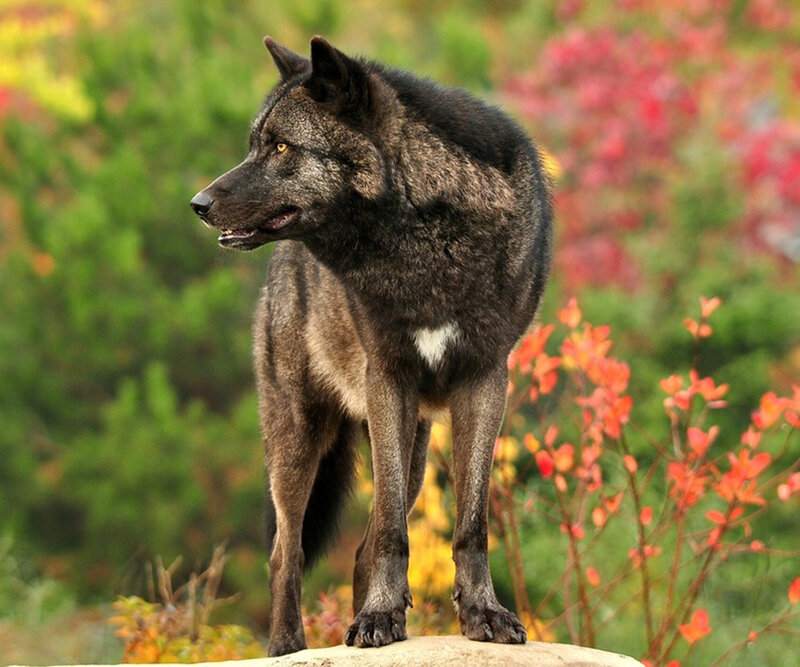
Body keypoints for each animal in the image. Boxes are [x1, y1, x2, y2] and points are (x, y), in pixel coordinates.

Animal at [190, 36, 552, 656]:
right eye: (255, 144)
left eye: (281, 147)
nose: (198, 203)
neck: (425, 236)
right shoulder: (386, 379)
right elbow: (389, 533)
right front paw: (381, 617)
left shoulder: (486, 380)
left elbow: (470, 523)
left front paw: (481, 614)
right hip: (299, 437)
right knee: (286, 552)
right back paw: (288, 647)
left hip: (414, 455)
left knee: (359, 548)